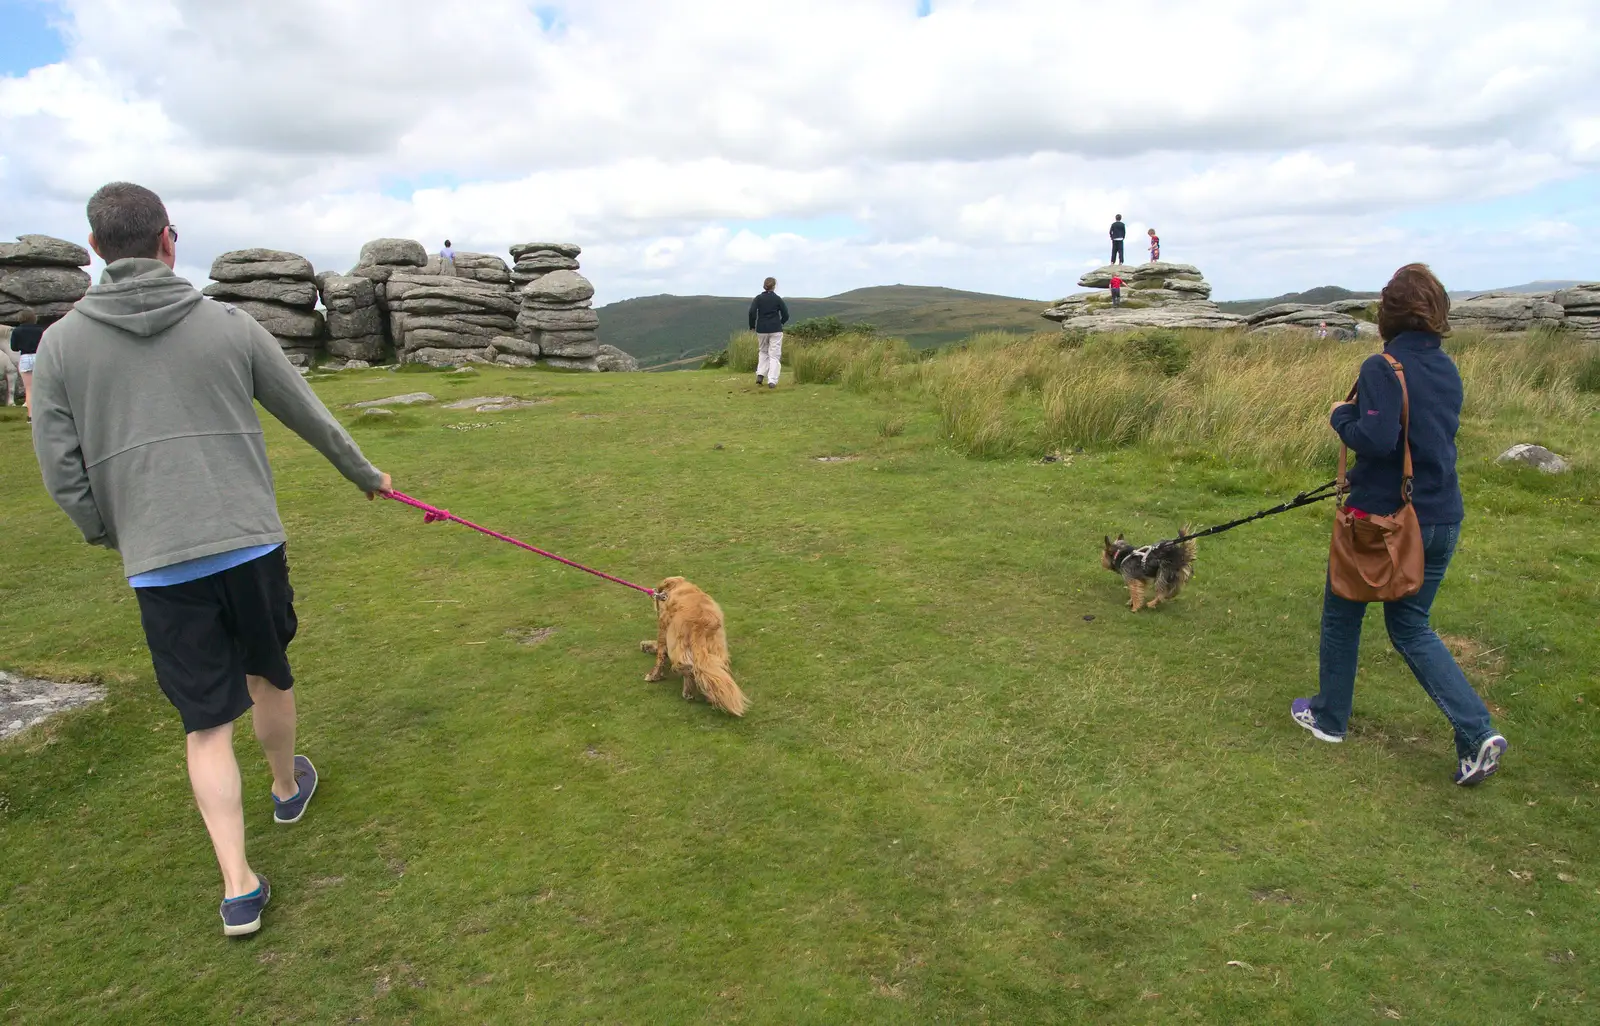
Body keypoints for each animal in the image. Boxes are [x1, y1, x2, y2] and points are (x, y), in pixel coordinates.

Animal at [640, 573, 745, 717]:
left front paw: (654, 675)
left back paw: (688, 691)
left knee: (686, 667)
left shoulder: (664, 627)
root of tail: (701, 625)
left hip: (678, 647)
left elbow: (660, 656)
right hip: (716, 650)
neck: (678, 588)